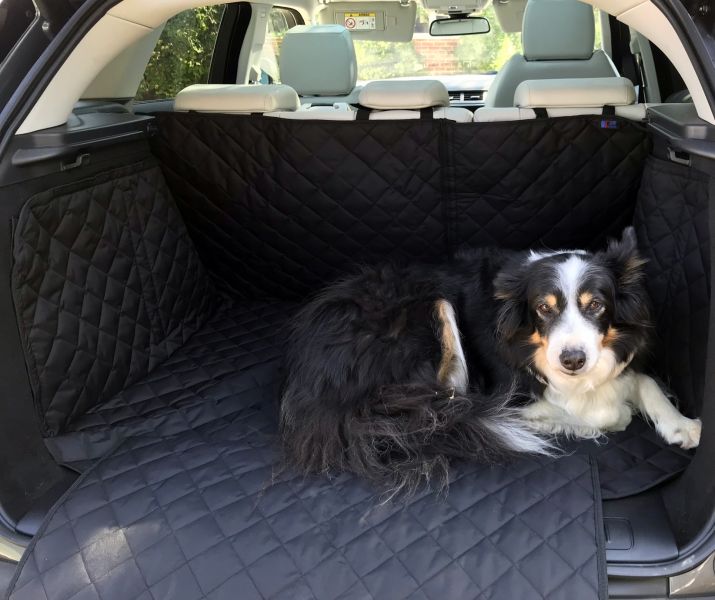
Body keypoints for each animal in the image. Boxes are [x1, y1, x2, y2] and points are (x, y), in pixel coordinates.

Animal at [278, 227, 700, 494]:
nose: (573, 360)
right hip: (430, 314)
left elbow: (642, 379)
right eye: (543, 309)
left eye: (595, 305)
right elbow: (593, 410)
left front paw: (682, 425)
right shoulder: (511, 390)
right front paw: (607, 415)